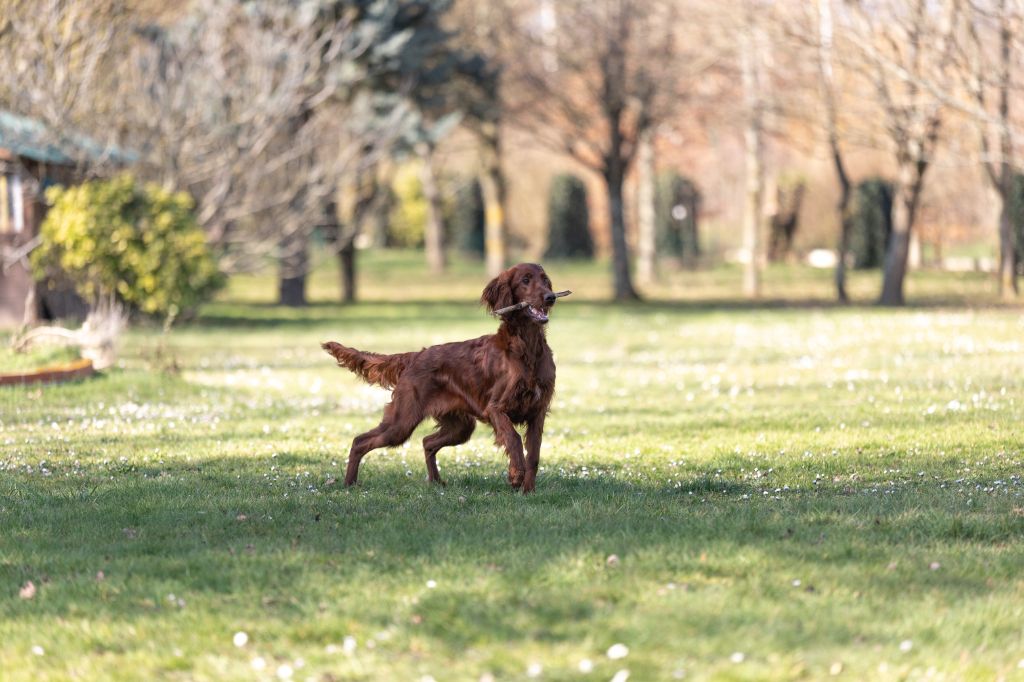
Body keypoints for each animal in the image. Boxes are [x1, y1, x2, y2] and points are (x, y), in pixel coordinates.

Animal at [321, 262, 569, 491]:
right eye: (525, 280)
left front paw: (528, 491)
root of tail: (415, 355)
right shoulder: (496, 408)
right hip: (401, 422)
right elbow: (514, 438)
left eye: (545, 280)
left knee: (427, 441)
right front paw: (516, 475)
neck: (527, 349)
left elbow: (534, 456)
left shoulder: (538, 411)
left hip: (460, 427)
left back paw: (436, 481)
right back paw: (349, 483)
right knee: (360, 441)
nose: (550, 297)